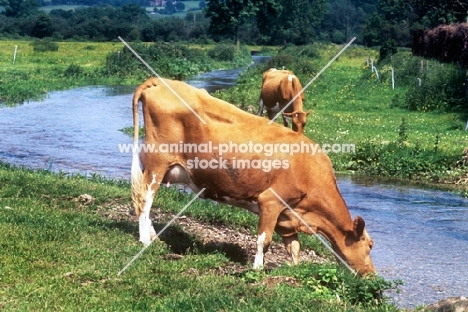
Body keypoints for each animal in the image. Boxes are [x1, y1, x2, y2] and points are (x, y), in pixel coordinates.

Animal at [132, 77, 376, 276]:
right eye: (370, 245)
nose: (372, 275)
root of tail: (160, 81)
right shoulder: (271, 201)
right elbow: (263, 240)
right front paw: (257, 269)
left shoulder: (288, 217)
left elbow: (294, 248)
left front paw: (295, 269)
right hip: (157, 164)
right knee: (144, 200)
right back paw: (144, 241)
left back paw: (155, 238)